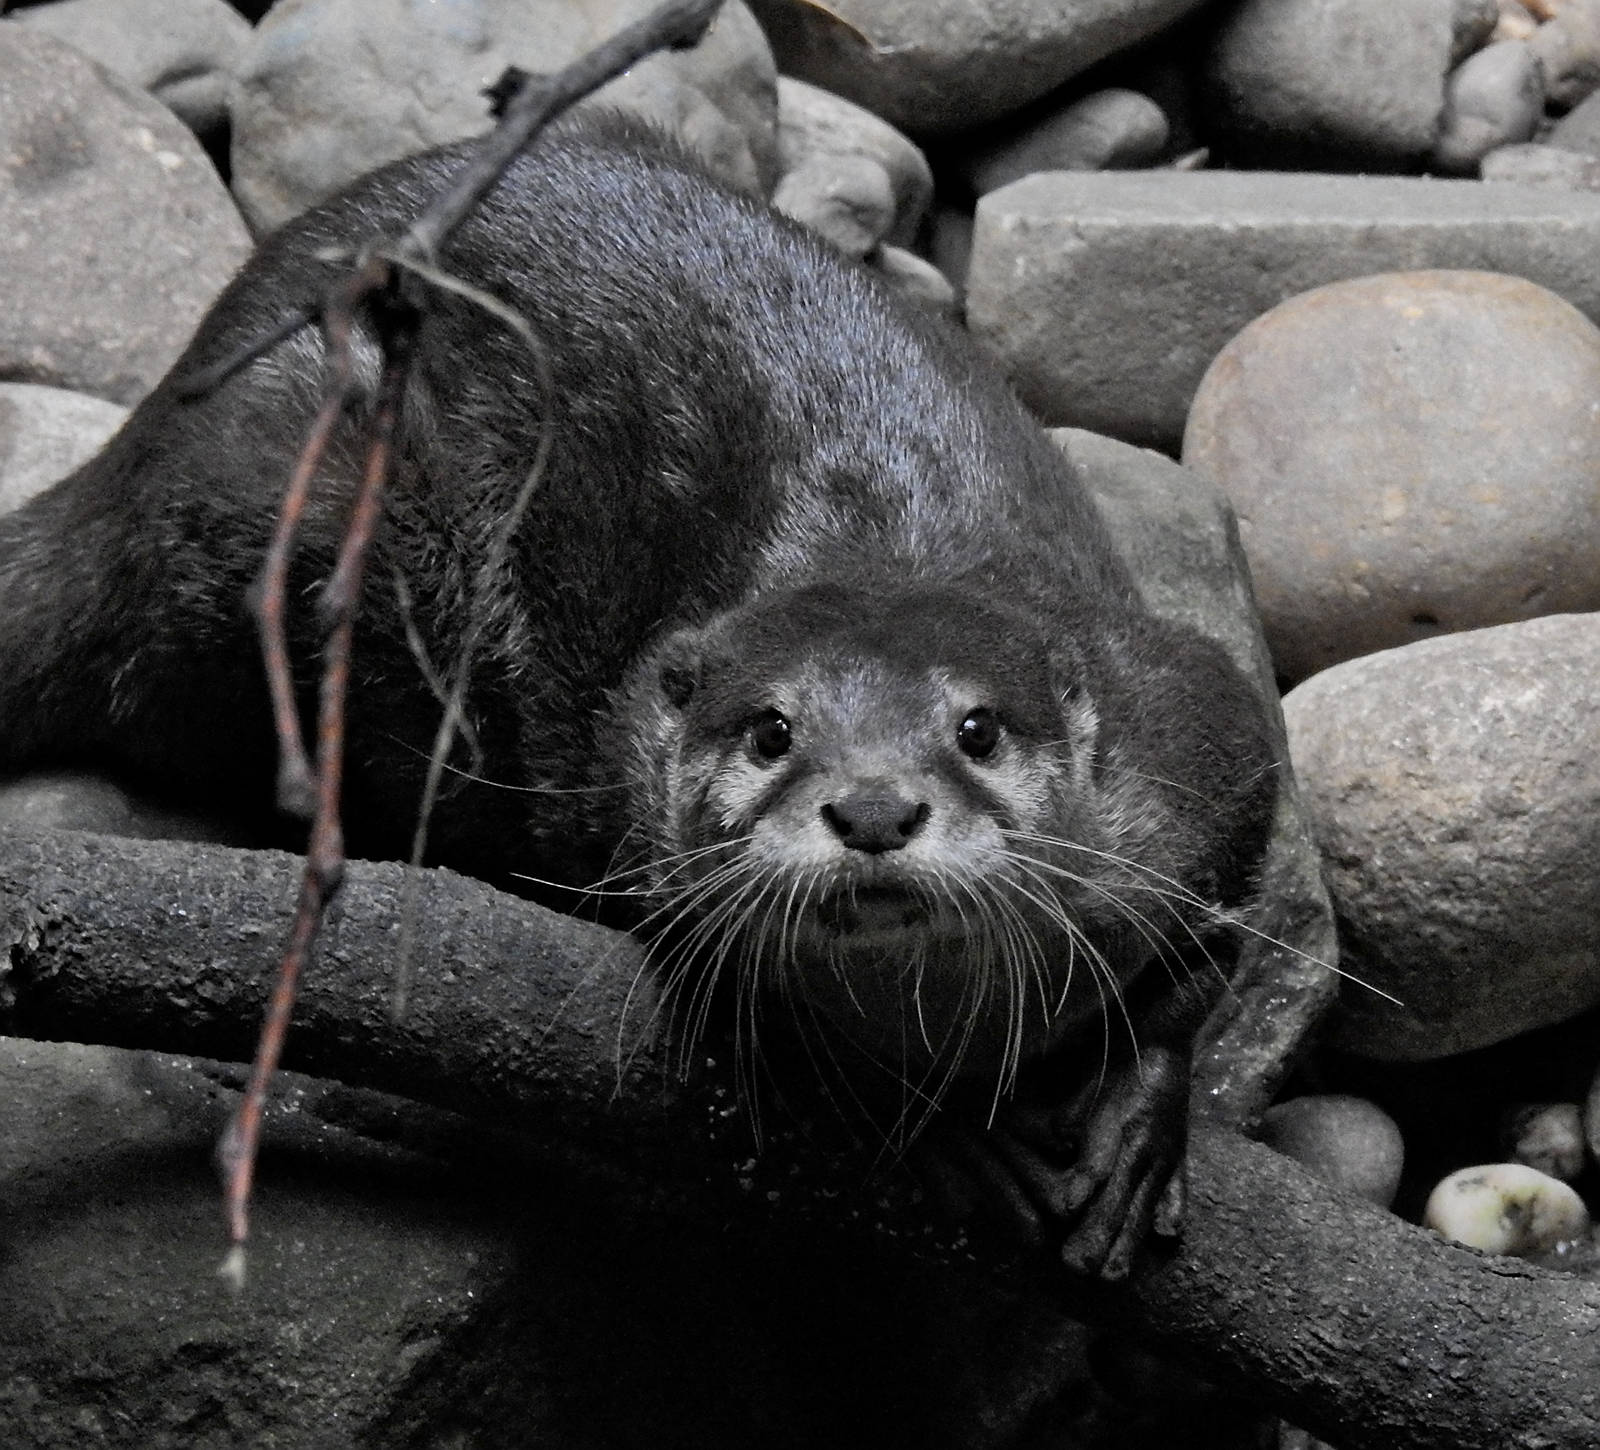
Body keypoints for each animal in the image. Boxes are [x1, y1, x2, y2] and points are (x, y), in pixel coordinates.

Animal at [0, 117, 1276, 1277]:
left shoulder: (1195, 747)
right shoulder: (628, 786)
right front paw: (931, 1135)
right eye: (770, 732)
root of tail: (138, 445)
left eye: (976, 729)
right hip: (330, 527)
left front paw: (1136, 1116)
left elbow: (1210, 953)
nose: (872, 809)